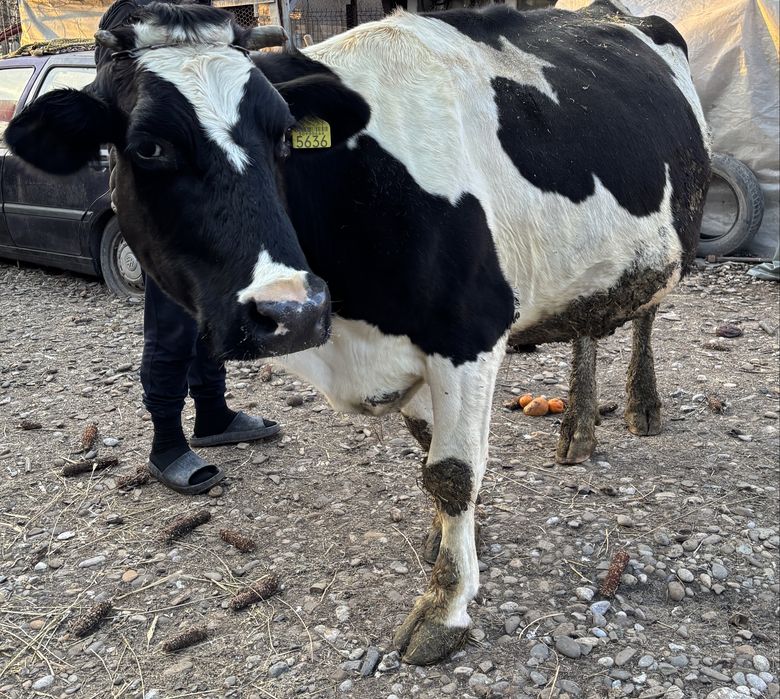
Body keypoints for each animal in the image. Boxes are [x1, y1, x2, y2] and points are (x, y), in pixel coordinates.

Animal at [5, 0, 710, 664]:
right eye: (149, 147)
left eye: (283, 137)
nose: (292, 311)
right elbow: (429, 454)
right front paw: (451, 540)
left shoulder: (470, 333)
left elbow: (452, 471)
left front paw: (445, 607)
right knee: (588, 325)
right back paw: (579, 430)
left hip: (674, 235)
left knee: (644, 314)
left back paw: (641, 406)